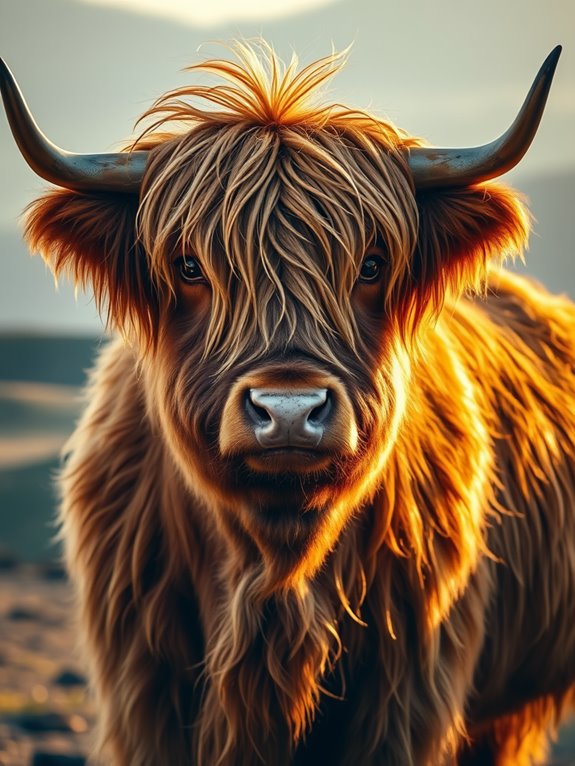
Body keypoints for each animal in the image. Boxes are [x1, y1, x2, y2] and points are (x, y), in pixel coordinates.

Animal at [1, 41, 574, 766]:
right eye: (189, 266)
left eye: (371, 265)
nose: (290, 410)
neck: (271, 570)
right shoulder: (143, 694)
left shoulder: (403, 701)